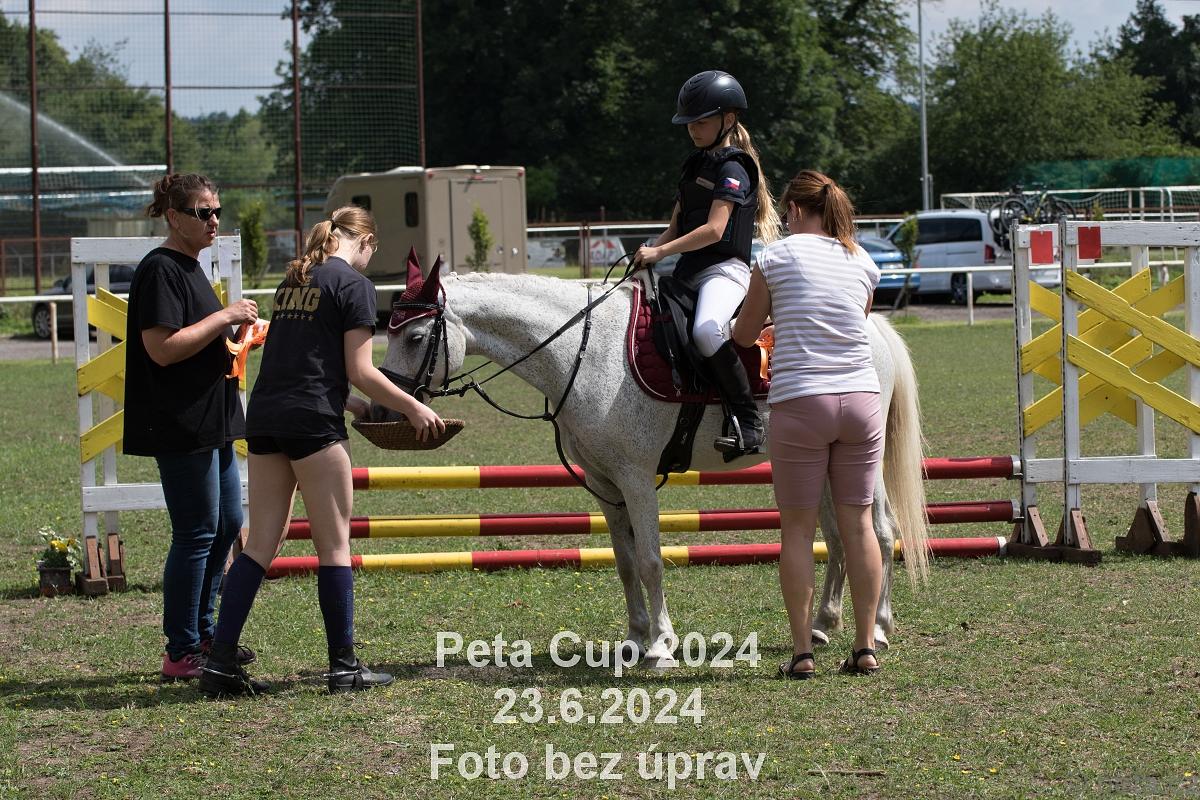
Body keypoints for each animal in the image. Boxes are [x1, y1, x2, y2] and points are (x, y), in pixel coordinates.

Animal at [377, 253, 929, 669]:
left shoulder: (636, 478)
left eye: (417, 337)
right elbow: (624, 564)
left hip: (862, 462)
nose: (386, 410)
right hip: (812, 461)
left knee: (882, 532)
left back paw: (879, 628)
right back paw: (821, 625)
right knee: (836, 537)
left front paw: (661, 645)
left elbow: (649, 560)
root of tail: (873, 325)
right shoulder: (604, 483)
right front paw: (634, 638)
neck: (585, 351)